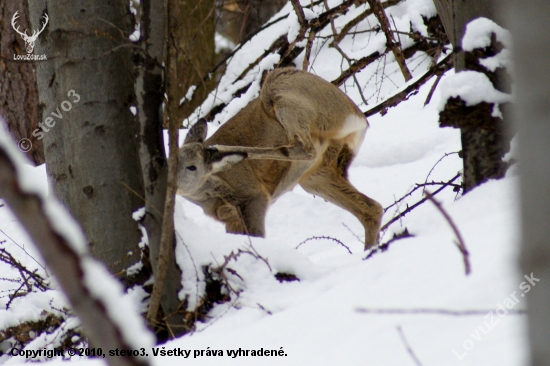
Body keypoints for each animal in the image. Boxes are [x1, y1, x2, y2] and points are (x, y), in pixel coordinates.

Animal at [177, 68, 384, 249]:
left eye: (192, 166)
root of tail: (358, 118)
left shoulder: (254, 195)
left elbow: (257, 236)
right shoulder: (231, 220)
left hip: (279, 90)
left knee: (303, 148)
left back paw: (226, 148)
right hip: (318, 173)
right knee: (373, 208)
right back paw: (369, 252)